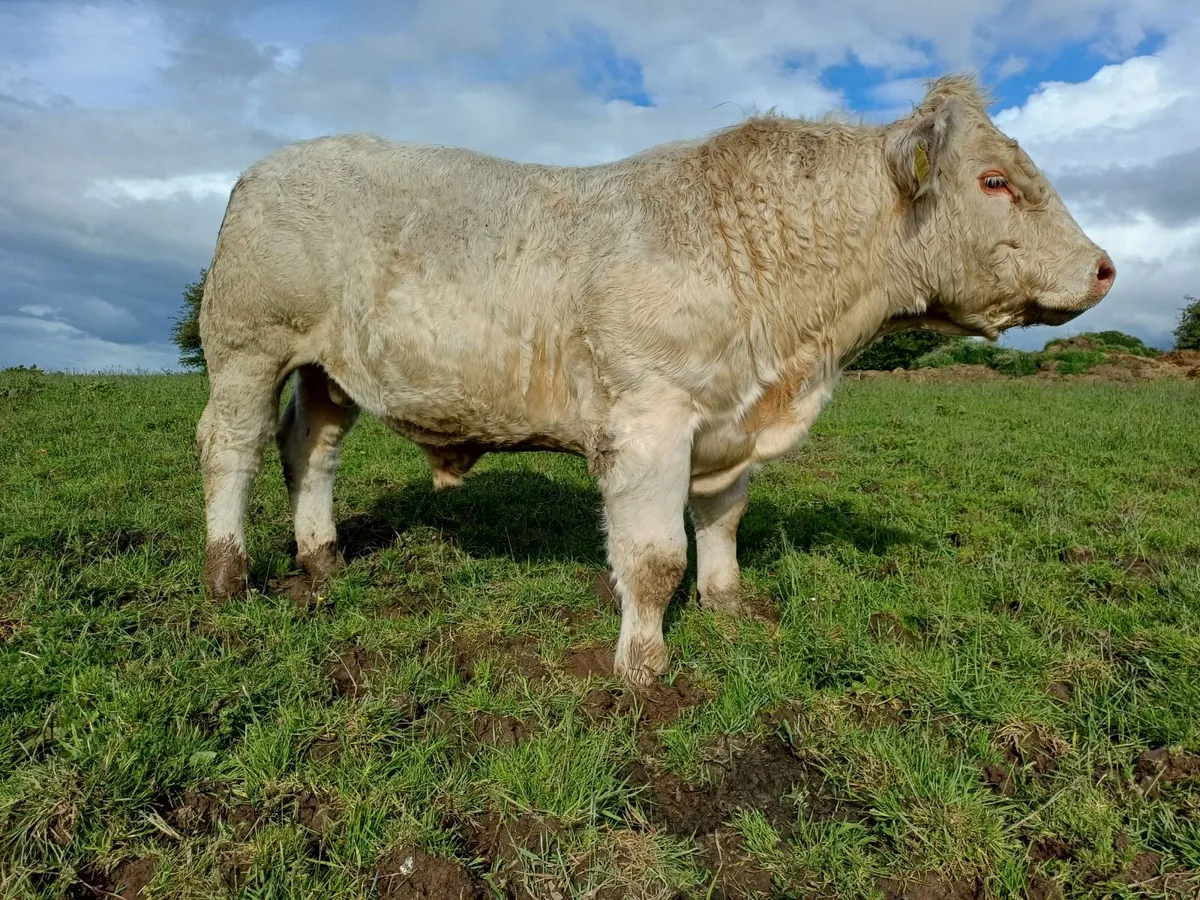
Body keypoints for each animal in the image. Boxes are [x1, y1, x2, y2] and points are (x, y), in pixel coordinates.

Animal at [196, 74, 1114, 686]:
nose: (1105, 268)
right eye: (994, 181)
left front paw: (729, 607)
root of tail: (264, 168)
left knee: (310, 449)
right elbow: (652, 558)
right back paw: (229, 578)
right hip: (247, 347)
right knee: (231, 448)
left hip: (331, 371)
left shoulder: (729, 425)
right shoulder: (647, 420)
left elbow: (721, 526)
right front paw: (643, 664)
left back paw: (323, 562)